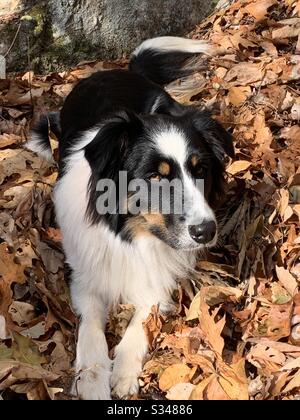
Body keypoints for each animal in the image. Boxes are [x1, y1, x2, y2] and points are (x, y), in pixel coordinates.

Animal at [27, 37, 234, 400]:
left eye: (201, 170)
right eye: (155, 176)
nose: (206, 231)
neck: (130, 236)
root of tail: (117, 70)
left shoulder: (159, 277)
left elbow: (142, 317)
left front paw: (123, 372)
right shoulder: (82, 274)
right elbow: (90, 324)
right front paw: (92, 377)